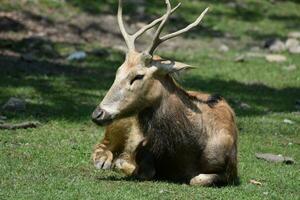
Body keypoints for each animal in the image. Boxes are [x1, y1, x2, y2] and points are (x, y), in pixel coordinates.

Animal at [91, 0, 237, 186]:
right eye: (118, 71)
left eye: (138, 76)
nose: (98, 113)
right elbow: (146, 170)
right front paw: (124, 164)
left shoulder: (231, 169)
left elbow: (197, 179)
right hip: (119, 123)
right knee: (101, 146)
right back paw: (104, 161)